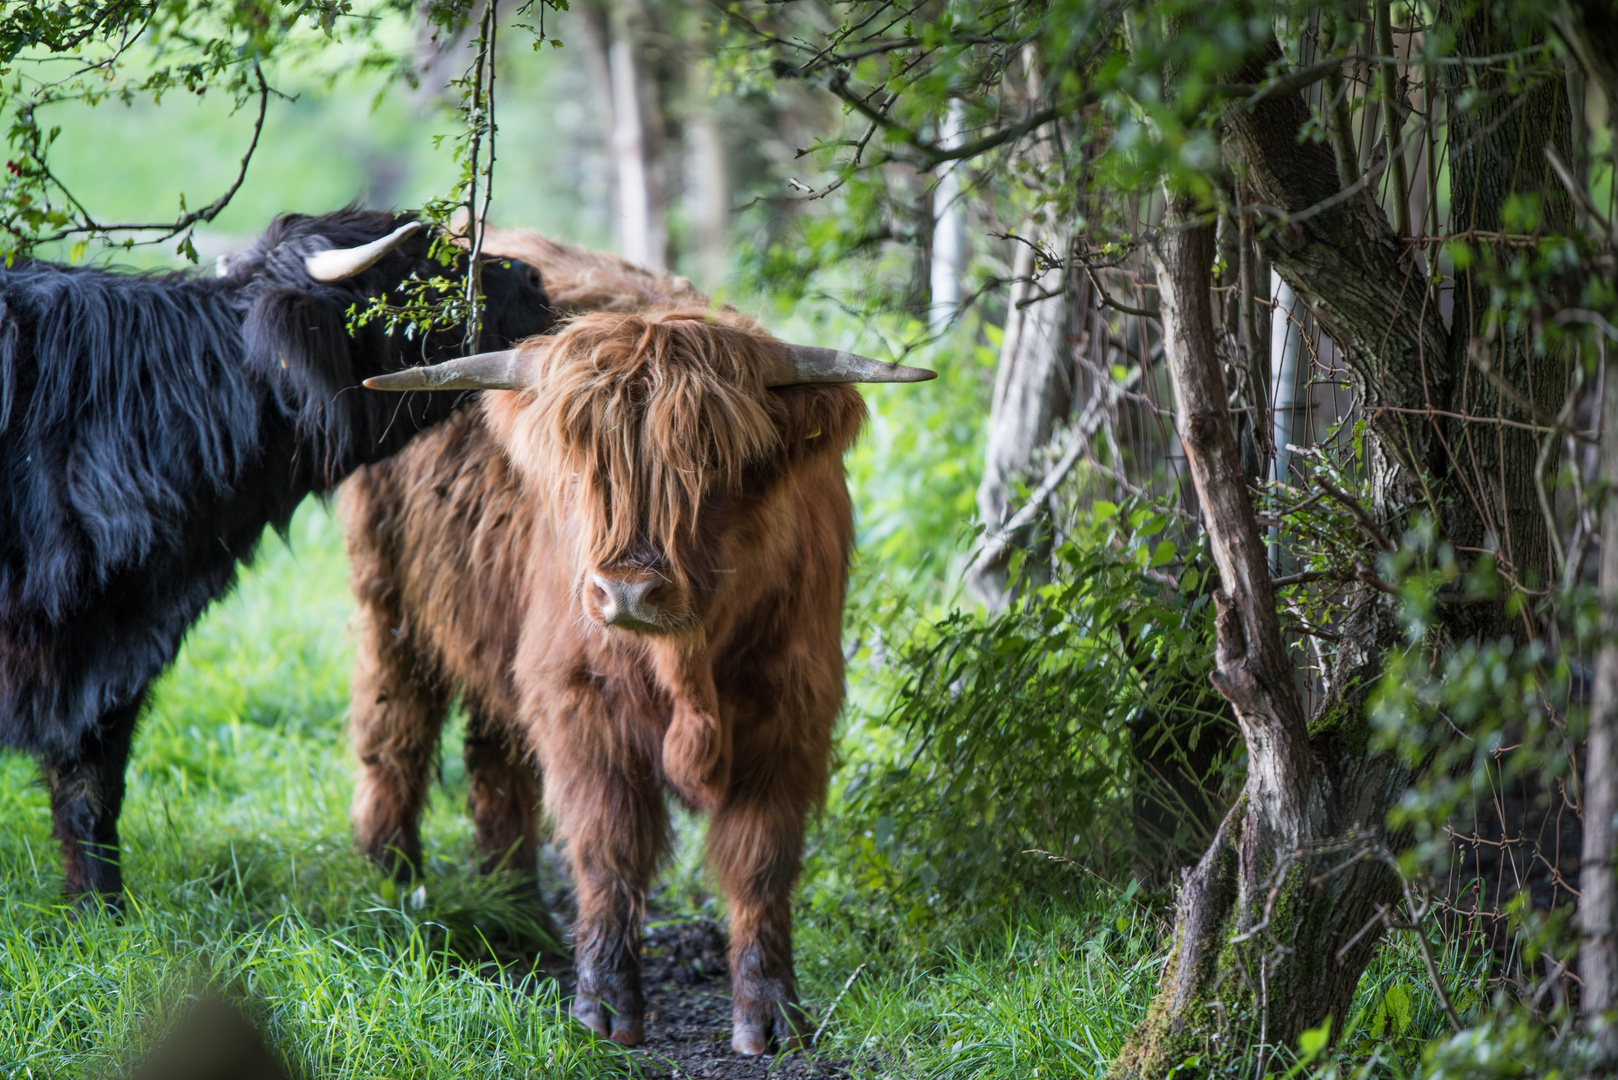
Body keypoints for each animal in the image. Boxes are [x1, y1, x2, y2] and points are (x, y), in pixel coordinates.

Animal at [338, 236, 938, 1055]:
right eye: (579, 465)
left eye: (712, 461)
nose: (627, 591)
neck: (692, 668)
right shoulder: (580, 699)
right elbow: (609, 847)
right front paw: (604, 1007)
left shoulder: (792, 704)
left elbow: (761, 860)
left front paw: (770, 1014)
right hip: (387, 602)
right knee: (392, 730)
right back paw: (392, 882)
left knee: (498, 766)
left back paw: (517, 911)